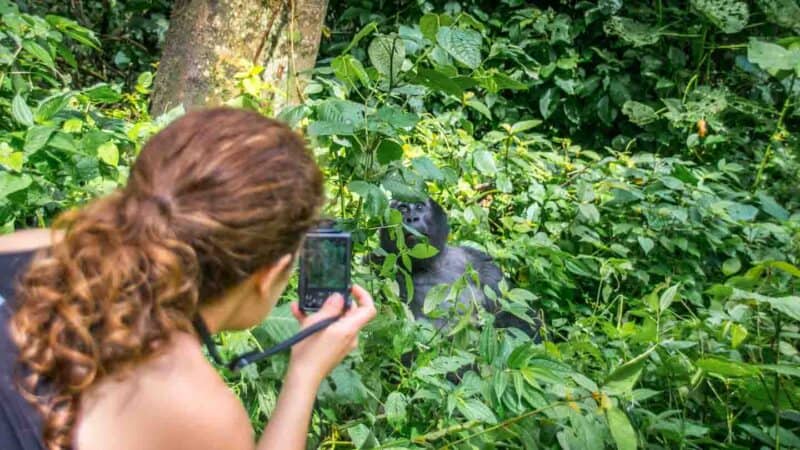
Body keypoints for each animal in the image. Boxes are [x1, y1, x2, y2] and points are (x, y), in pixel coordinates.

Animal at [378, 197, 540, 334]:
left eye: (419, 206)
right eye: (403, 209)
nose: (411, 218)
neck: (430, 266)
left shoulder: (478, 261)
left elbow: (517, 319)